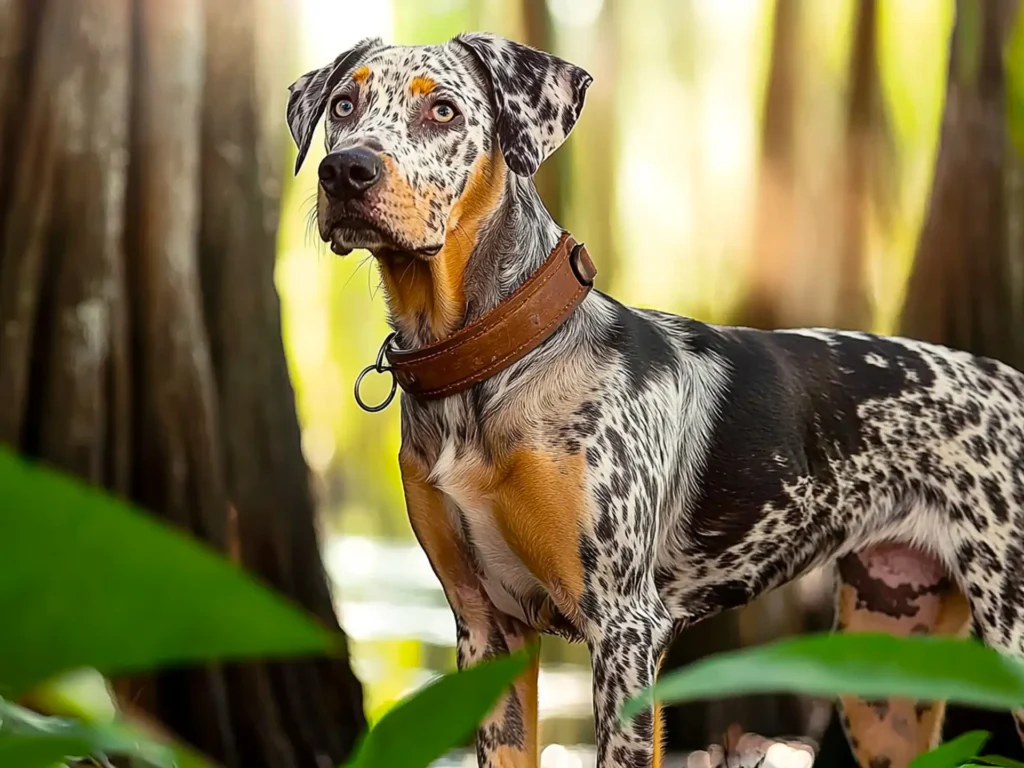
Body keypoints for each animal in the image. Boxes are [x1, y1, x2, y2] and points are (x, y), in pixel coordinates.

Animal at [284, 31, 1024, 768]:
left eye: (442, 110)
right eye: (343, 105)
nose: (345, 171)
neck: (487, 362)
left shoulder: (624, 628)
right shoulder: (484, 626)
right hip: (886, 675)